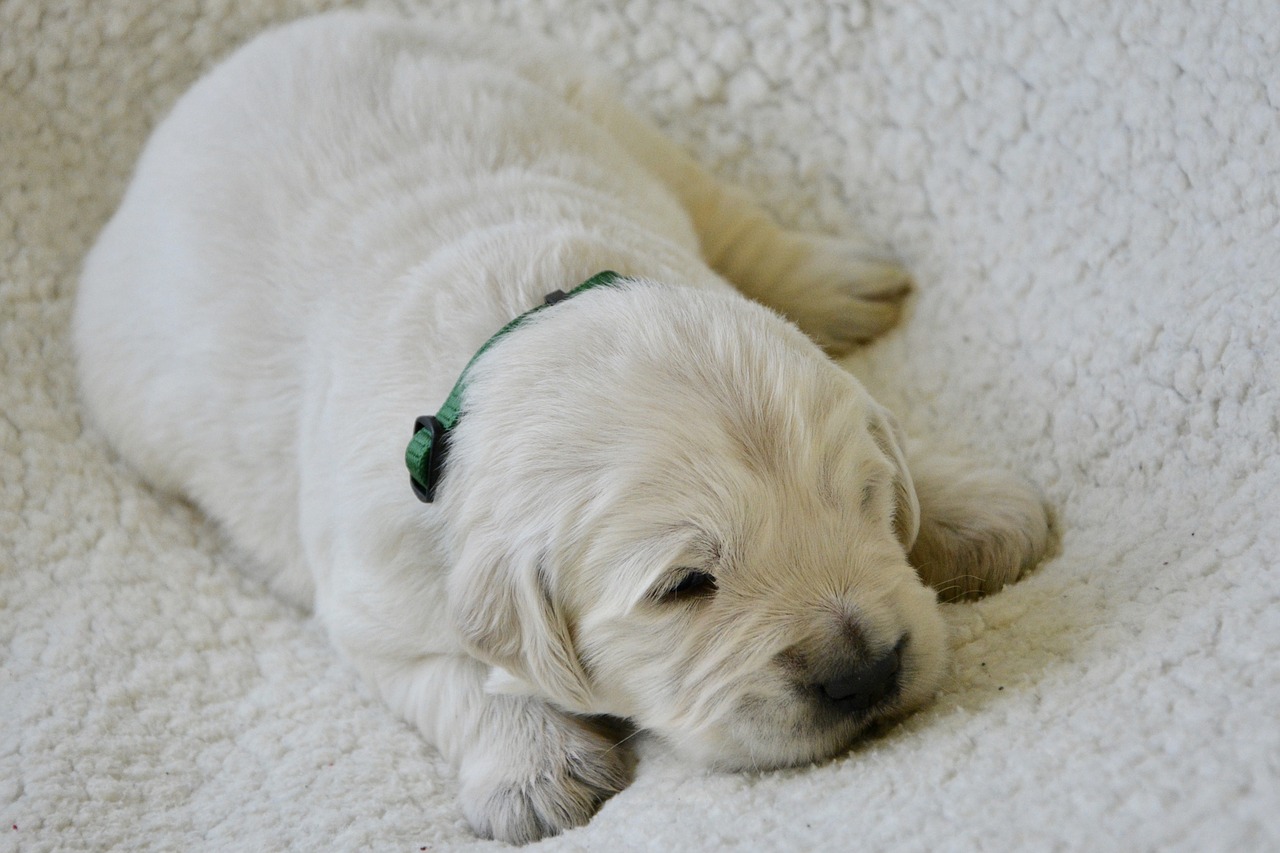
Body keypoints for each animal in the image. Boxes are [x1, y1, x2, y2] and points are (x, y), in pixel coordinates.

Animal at [72, 13, 1049, 845]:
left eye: (864, 502)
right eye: (683, 587)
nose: (866, 673)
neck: (513, 331)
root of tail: (243, 57)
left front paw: (973, 511)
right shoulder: (370, 598)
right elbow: (457, 673)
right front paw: (535, 771)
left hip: (592, 101)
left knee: (724, 214)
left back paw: (840, 278)